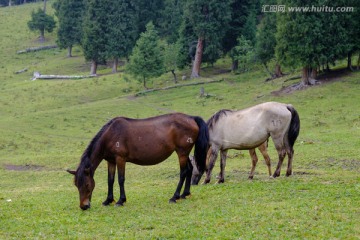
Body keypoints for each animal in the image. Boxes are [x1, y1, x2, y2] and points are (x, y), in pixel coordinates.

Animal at [67, 113, 208, 209]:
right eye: (76, 185)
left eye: (87, 185)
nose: (84, 206)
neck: (110, 134)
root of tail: (191, 118)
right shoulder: (111, 161)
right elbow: (110, 180)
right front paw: (108, 200)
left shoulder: (120, 159)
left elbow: (120, 179)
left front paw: (121, 200)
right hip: (184, 153)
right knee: (189, 170)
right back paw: (185, 194)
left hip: (182, 152)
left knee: (183, 172)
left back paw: (175, 196)